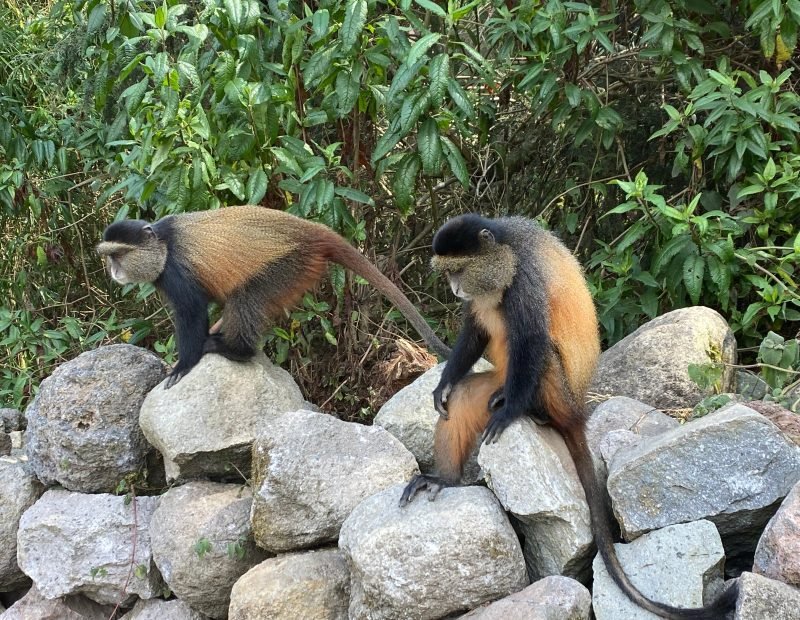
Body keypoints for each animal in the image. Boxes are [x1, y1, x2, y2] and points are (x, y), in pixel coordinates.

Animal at [96, 205, 451, 388]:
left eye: (118, 255)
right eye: (109, 257)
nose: (113, 271)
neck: (162, 245)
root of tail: (312, 231)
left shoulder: (176, 274)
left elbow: (192, 313)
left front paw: (184, 364)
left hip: (288, 266)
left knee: (246, 296)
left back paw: (236, 350)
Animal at [399, 214, 738, 619]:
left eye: (460, 270)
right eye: (449, 272)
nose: (454, 288)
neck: (504, 248)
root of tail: (576, 412)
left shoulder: (524, 281)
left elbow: (532, 337)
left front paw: (510, 413)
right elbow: (475, 332)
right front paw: (444, 384)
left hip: (552, 391)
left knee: (541, 349)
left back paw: (527, 410)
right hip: (502, 380)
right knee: (468, 397)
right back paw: (445, 479)